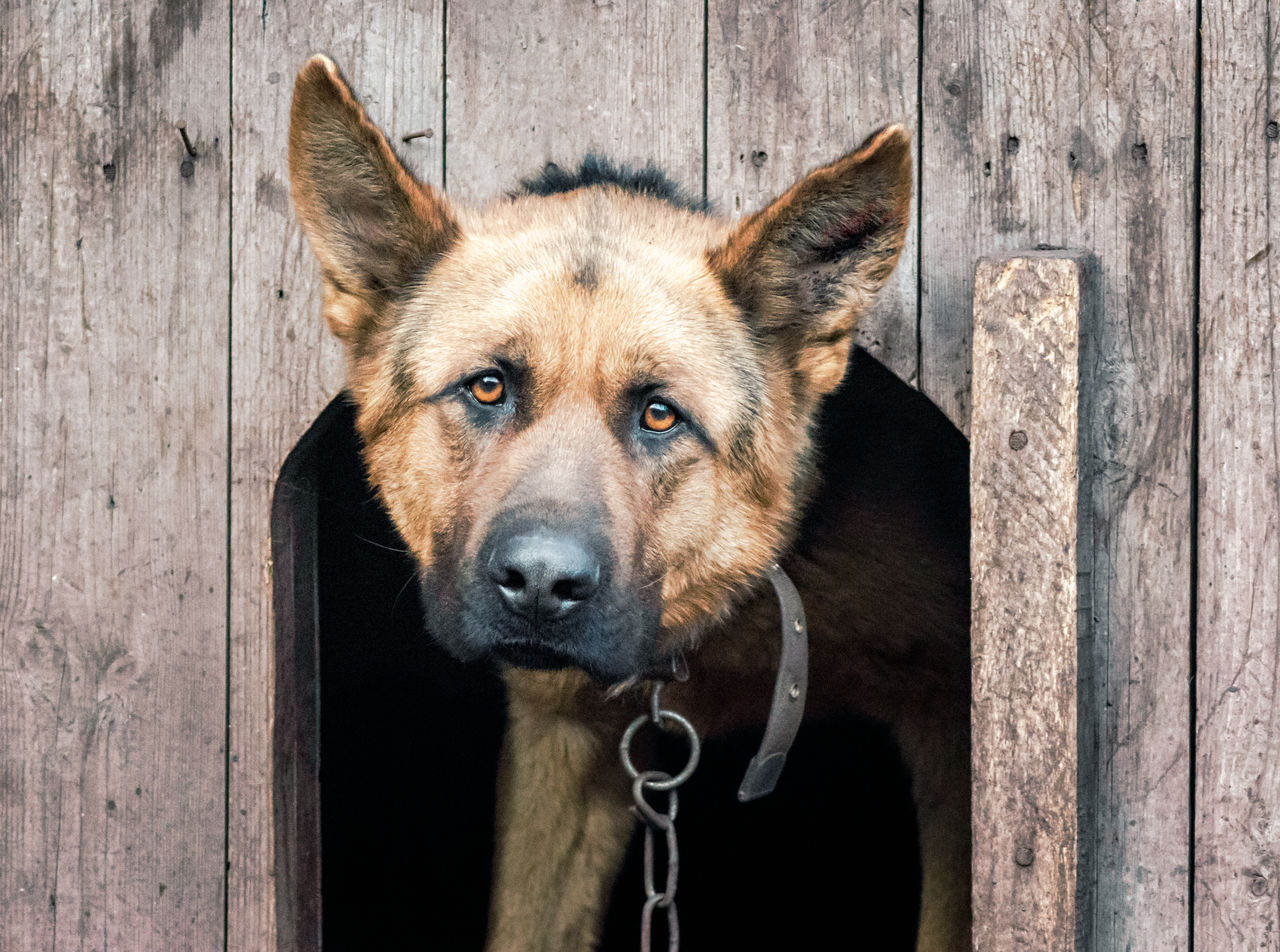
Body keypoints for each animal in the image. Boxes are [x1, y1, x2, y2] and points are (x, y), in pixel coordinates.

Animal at [288, 55, 967, 946]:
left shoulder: (951, 732)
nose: (541, 586)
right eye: (488, 387)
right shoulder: (559, 748)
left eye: (659, 414)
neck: (719, 633)